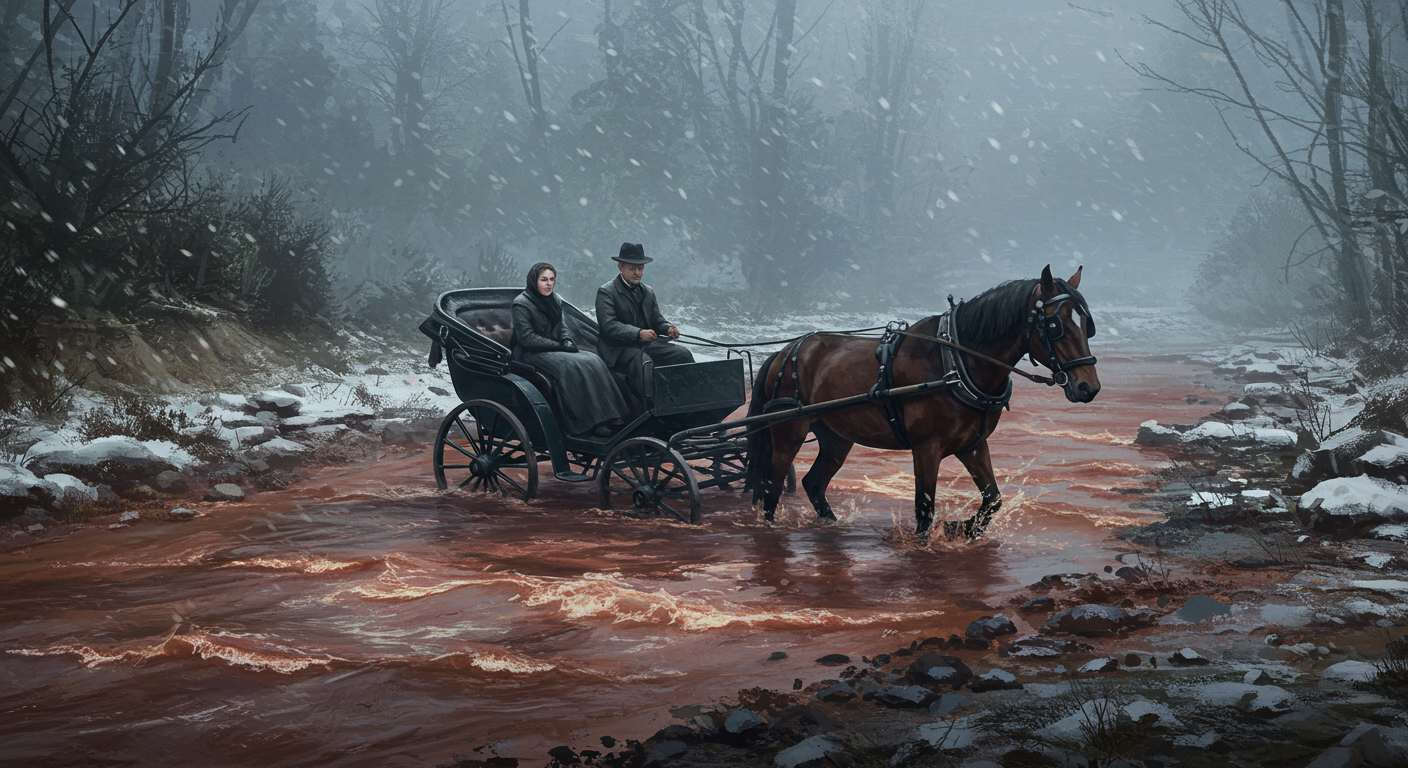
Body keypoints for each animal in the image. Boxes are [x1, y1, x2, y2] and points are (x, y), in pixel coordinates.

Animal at [743, 263, 1103, 538]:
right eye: (1054, 325)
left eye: (1088, 324)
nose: (1088, 387)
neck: (954, 363)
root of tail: (784, 352)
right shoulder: (926, 447)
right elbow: (924, 508)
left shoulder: (972, 445)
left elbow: (993, 500)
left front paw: (963, 527)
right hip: (788, 432)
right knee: (772, 488)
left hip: (836, 437)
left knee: (813, 484)